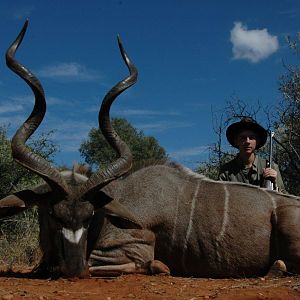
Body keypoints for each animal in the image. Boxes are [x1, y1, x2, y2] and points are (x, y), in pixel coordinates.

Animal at [1, 21, 300, 278]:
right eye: (53, 213)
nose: (73, 269)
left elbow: (137, 263)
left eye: (89, 216)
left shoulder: (129, 251)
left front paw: (161, 266)